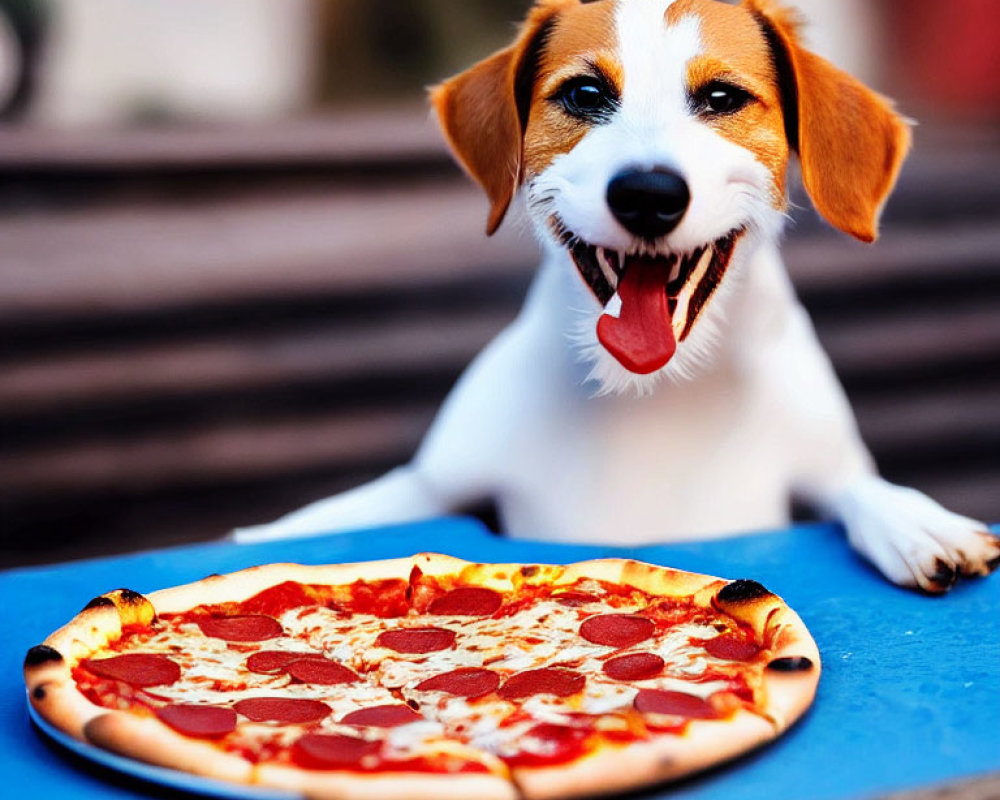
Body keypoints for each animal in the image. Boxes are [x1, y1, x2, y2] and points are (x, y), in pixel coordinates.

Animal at [236, 0, 1000, 592]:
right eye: (583, 94)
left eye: (722, 98)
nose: (648, 193)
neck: (649, 394)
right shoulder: (430, 483)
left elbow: (858, 486)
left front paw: (913, 518)